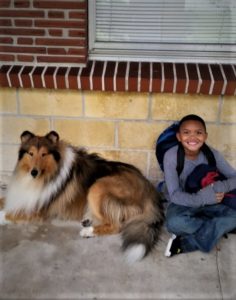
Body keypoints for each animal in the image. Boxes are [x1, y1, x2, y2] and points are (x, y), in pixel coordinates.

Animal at [1, 130, 164, 262]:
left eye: (44, 154)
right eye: (31, 153)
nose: (33, 172)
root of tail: (150, 190)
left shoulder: (37, 209)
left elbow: (6, 214)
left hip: (98, 187)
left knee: (116, 225)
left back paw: (88, 231)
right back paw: (88, 220)